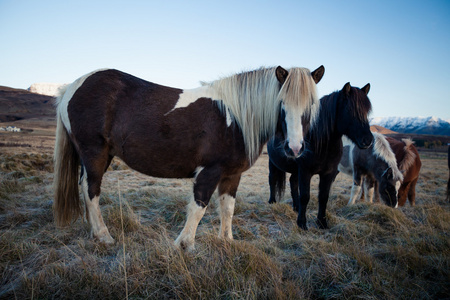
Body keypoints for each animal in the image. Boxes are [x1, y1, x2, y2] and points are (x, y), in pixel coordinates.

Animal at [53, 66, 324, 251]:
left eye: (312, 104)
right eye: (281, 103)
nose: (295, 148)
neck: (234, 117)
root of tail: (72, 87)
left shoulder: (232, 175)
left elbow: (228, 208)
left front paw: (227, 241)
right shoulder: (209, 171)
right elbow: (198, 208)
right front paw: (185, 246)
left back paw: (95, 234)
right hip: (94, 153)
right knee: (91, 191)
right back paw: (104, 236)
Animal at [268, 82, 372, 230]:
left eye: (367, 112)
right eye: (350, 110)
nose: (367, 140)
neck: (321, 142)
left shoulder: (328, 173)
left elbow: (323, 197)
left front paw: (322, 222)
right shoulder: (305, 171)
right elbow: (305, 196)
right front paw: (302, 223)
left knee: (293, 182)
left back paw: (296, 207)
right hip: (273, 163)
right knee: (272, 180)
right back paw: (272, 201)